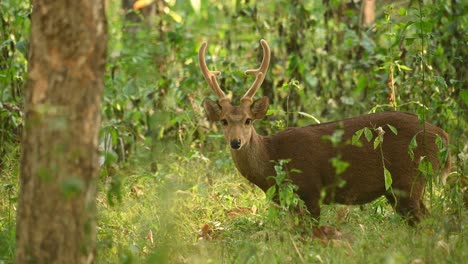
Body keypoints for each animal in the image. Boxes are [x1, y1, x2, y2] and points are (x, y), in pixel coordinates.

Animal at [199, 39, 452, 225]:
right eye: (223, 121)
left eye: (248, 120)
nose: (236, 142)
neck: (272, 157)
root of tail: (442, 136)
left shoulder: (311, 189)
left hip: (409, 178)